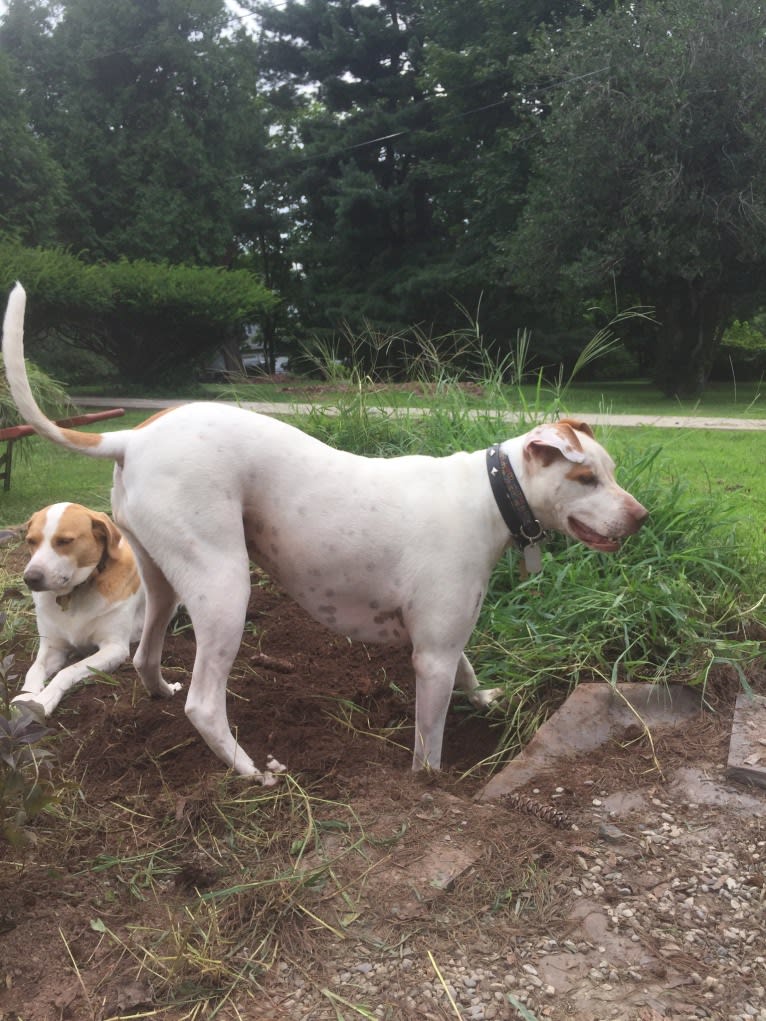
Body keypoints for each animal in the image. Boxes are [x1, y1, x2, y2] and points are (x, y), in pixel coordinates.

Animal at [13, 500, 159, 710]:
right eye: (31, 541)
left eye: (65, 541)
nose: (30, 578)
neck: (73, 594)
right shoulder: (52, 647)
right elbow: (33, 671)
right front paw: (23, 701)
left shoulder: (114, 647)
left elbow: (67, 671)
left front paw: (43, 700)